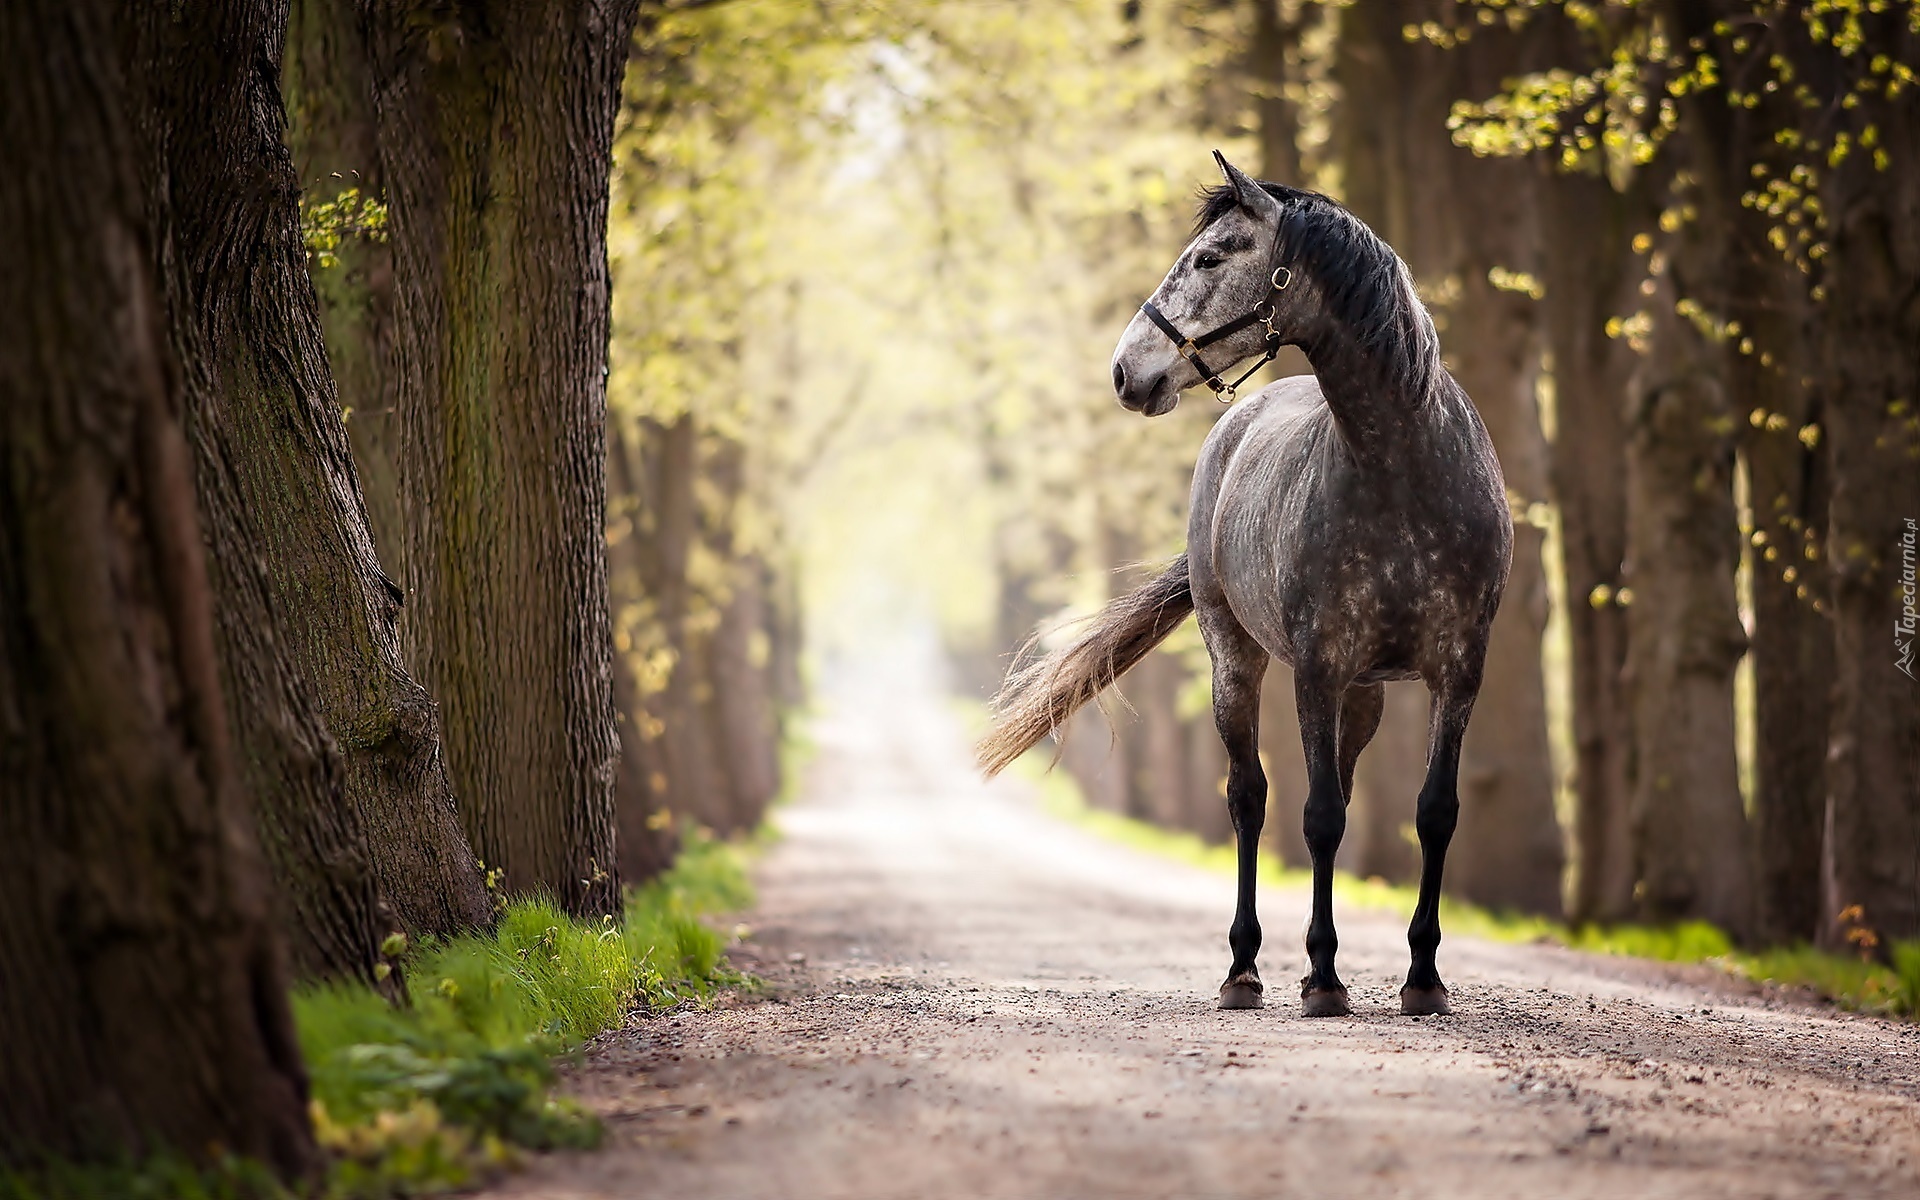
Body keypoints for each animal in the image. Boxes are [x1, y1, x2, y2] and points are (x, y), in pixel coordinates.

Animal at [983, 147, 1505, 1013]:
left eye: (1210, 257)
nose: (1125, 372)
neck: (1403, 470)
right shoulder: (1316, 669)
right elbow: (1317, 816)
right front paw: (1324, 977)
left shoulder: (1458, 672)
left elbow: (1434, 814)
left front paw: (1423, 978)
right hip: (1238, 662)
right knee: (1249, 799)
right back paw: (1245, 968)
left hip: (1365, 693)